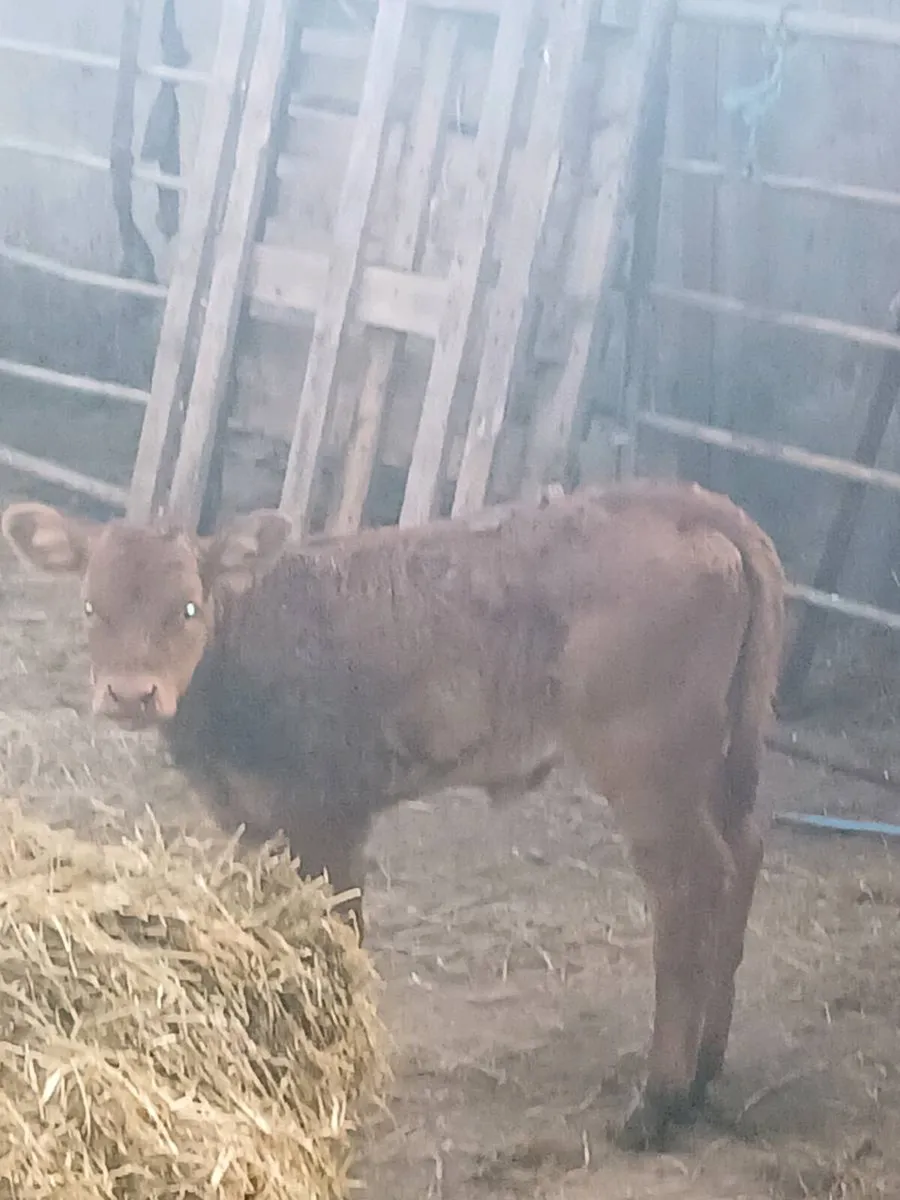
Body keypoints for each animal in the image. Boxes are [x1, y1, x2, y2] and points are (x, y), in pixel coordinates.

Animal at [1, 479, 785, 1152]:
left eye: (187, 608)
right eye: (91, 607)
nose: (132, 694)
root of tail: (674, 498)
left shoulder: (330, 813)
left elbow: (343, 930)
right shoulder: (254, 819)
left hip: (646, 764)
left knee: (690, 886)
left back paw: (658, 1103)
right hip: (717, 761)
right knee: (744, 851)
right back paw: (705, 1072)